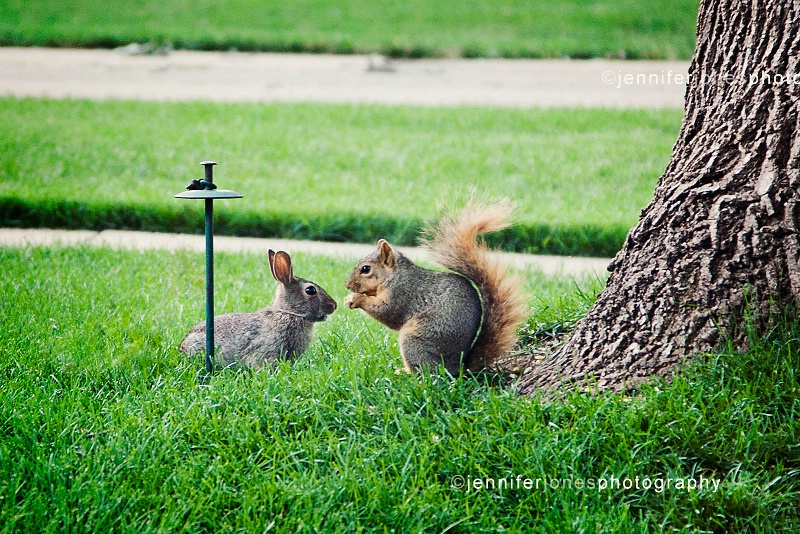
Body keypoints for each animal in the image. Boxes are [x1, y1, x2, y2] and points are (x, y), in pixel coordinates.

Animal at [342, 202, 524, 376]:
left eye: (366, 269)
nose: (347, 285)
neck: (394, 276)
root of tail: (458, 367)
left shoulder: (401, 293)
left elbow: (387, 312)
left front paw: (356, 298)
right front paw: (348, 298)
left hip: (415, 342)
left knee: (427, 372)